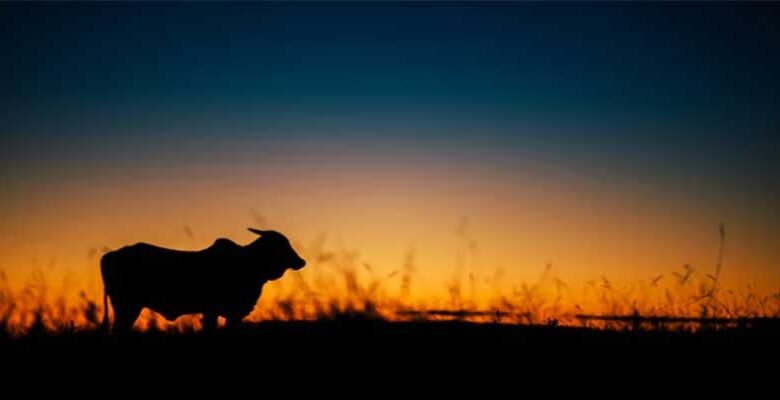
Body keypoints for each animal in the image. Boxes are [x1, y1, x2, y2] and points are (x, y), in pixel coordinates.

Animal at [100, 228, 306, 332]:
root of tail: (110, 255)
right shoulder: (217, 312)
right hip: (127, 306)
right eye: (283, 245)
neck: (249, 263)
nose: (301, 261)